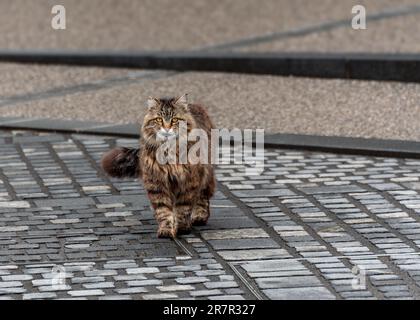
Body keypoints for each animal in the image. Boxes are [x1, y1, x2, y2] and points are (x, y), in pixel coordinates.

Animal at [100, 94, 215, 239]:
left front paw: (182, 228)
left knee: (203, 196)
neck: (168, 152)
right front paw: (166, 230)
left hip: (205, 174)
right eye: (159, 119)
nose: (166, 128)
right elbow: (164, 210)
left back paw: (199, 216)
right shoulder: (156, 184)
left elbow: (183, 208)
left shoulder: (189, 181)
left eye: (175, 120)